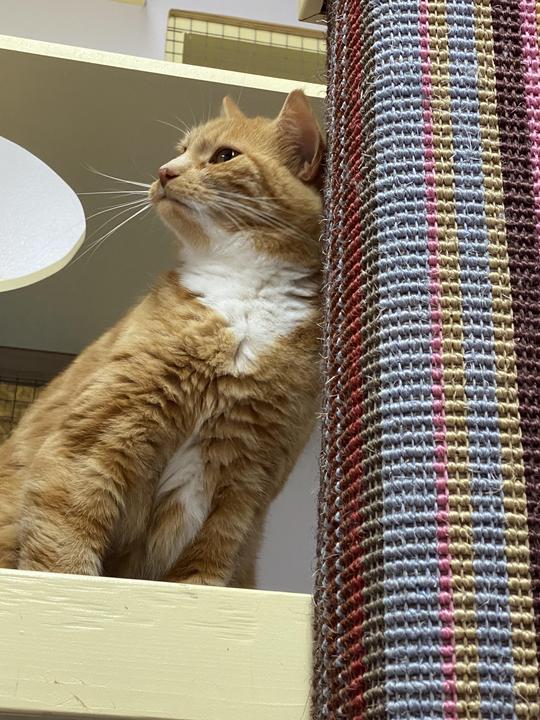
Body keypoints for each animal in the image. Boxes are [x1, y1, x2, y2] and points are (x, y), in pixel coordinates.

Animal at [0, 90, 323, 587]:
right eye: (181, 150)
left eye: (224, 156)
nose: (163, 171)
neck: (244, 292)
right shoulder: (97, 433)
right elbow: (64, 546)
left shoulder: (244, 479)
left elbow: (206, 568)